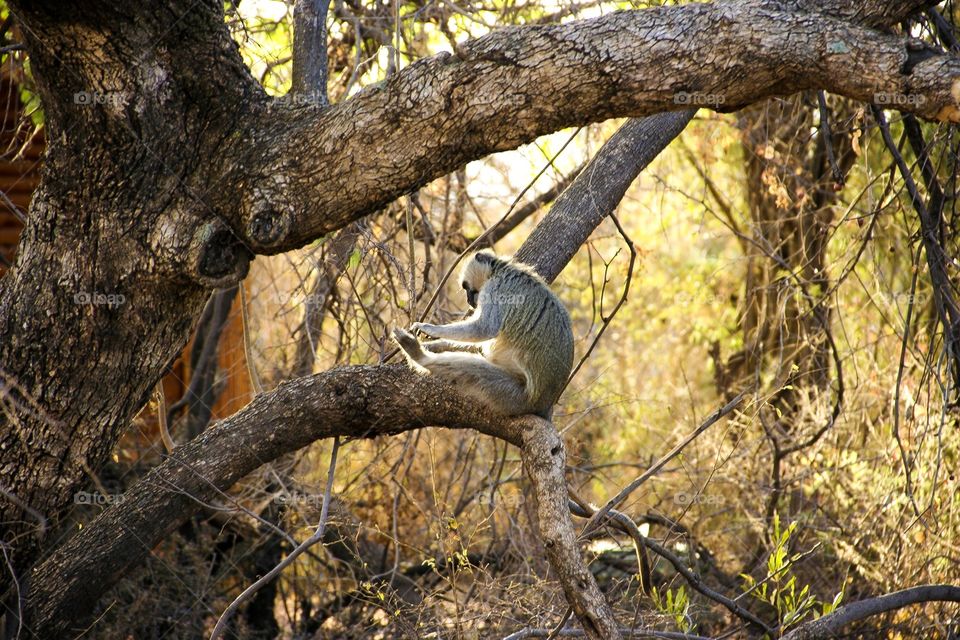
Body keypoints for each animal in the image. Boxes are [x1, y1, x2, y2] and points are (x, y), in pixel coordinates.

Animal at [392, 250, 572, 420]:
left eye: (466, 287)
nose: (468, 300)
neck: (499, 269)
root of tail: (543, 403)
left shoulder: (494, 288)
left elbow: (485, 329)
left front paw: (429, 329)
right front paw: (433, 344)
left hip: (516, 396)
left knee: (472, 370)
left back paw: (418, 354)